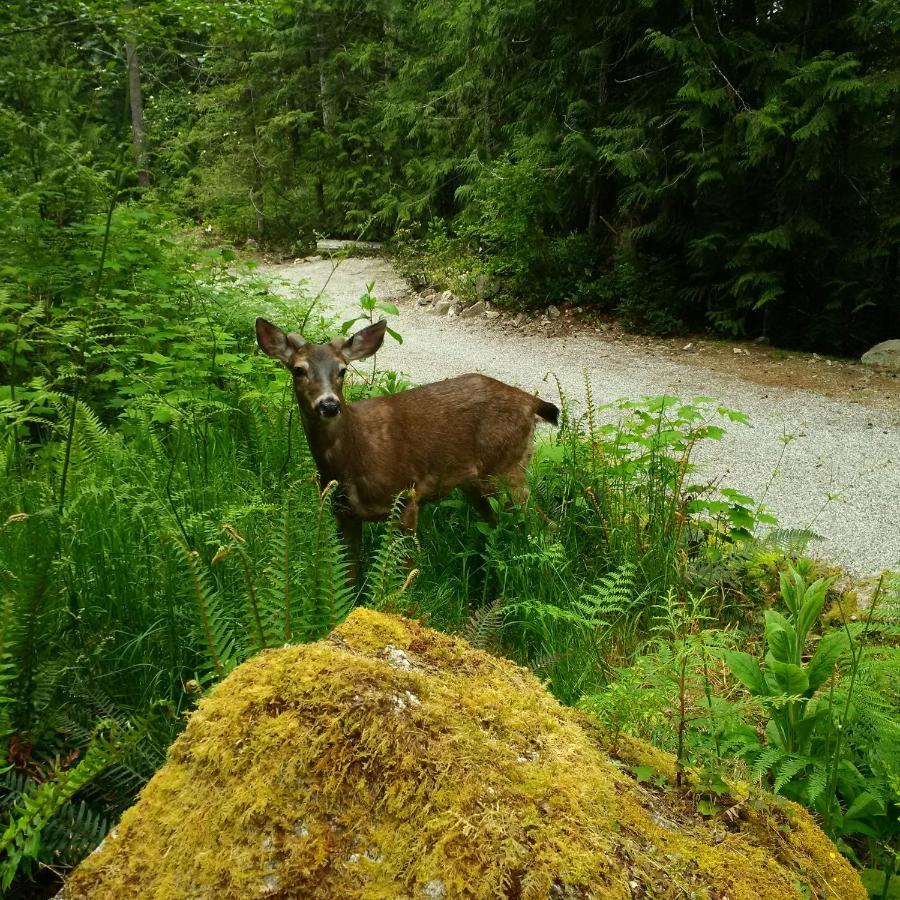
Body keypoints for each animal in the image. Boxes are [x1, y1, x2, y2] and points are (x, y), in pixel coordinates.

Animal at [256, 316, 560, 584]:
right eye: (298, 369)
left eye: (343, 369)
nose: (329, 405)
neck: (353, 458)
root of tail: (531, 402)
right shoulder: (342, 512)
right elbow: (349, 576)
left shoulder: (406, 496)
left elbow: (405, 573)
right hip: (479, 484)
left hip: (506, 468)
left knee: (543, 524)